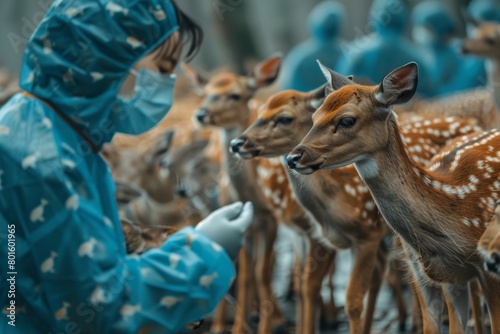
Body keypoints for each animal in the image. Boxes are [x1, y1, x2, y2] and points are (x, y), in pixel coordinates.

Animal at [231, 63, 484, 334]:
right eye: (314, 118)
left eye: (285, 118)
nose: (237, 143)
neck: (335, 204)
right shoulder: (310, 235)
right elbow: (305, 285)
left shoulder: (366, 234)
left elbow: (350, 298)